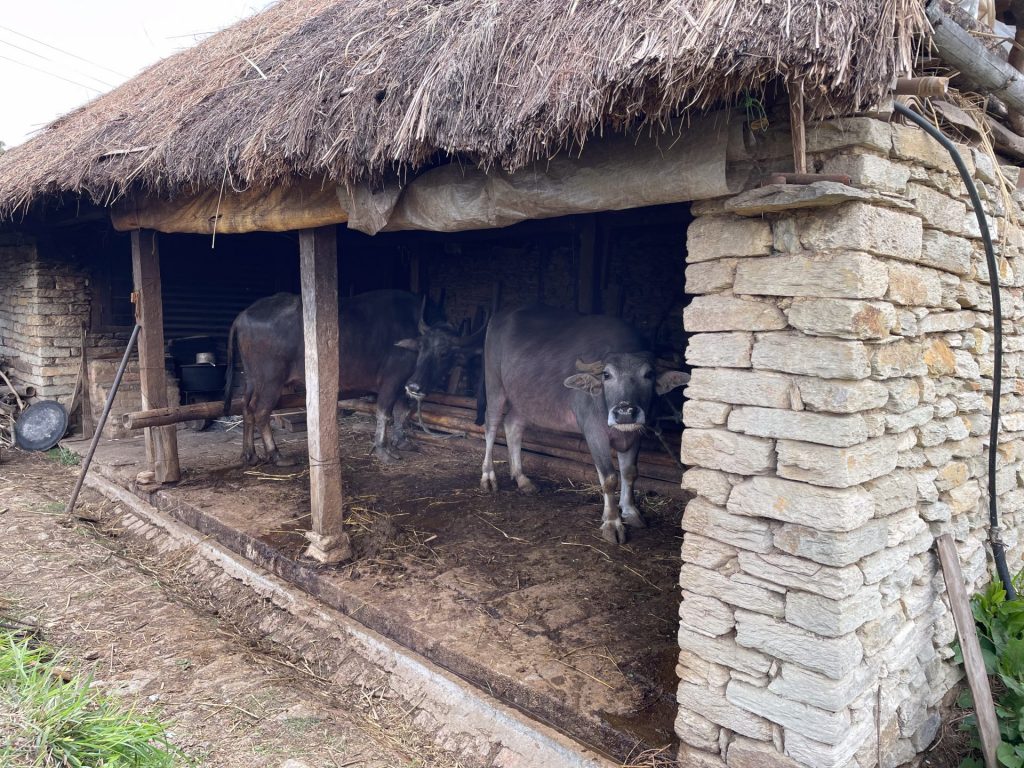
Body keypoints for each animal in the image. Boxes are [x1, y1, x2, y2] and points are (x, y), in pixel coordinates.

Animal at [224, 290, 479, 466]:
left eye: (444, 352)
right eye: (423, 347)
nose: (416, 386)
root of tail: (243, 315)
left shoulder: (404, 385)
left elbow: (403, 412)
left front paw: (402, 442)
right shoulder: (392, 382)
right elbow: (385, 413)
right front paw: (384, 450)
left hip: (251, 380)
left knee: (246, 408)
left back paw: (249, 454)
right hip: (270, 382)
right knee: (261, 412)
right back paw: (277, 455)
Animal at [477, 307, 688, 548]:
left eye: (649, 374)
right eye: (607, 375)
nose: (625, 412)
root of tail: (500, 315)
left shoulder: (635, 434)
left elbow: (629, 473)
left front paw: (630, 511)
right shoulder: (594, 432)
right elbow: (609, 477)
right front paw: (612, 523)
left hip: (525, 399)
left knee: (513, 425)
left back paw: (522, 479)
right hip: (495, 385)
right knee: (491, 424)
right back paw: (488, 478)